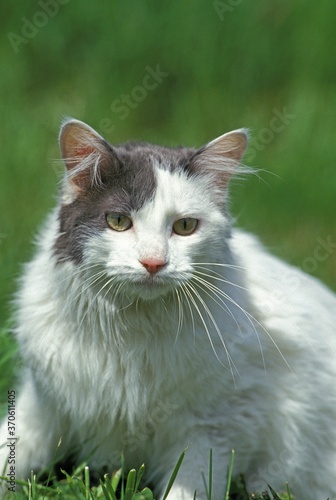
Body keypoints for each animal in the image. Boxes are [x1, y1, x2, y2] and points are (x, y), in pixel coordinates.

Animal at [0, 119, 336, 498]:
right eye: (118, 221)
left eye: (185, 227)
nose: (153, 262)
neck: (132, 335)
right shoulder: (43, 407)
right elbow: (10, 450)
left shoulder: (217, 427)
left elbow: (185, 489)